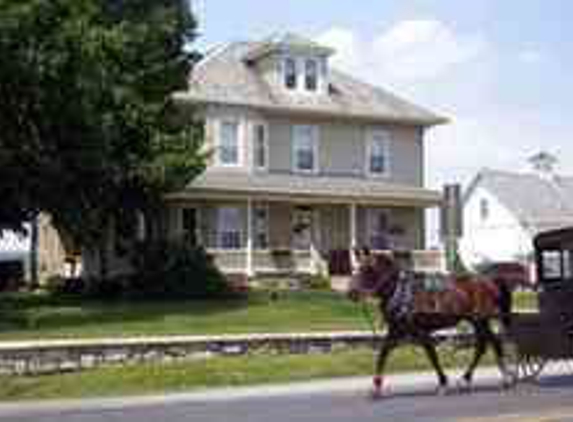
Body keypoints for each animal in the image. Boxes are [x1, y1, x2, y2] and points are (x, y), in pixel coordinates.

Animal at [346, 249, 516, 400]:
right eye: (357, 267)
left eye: (368, 269)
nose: (351, 292)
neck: (401, 292)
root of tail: (489, 281)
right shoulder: (396, 329)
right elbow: (383, 353)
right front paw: (376, 387)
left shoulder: (420, 330)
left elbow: (431, 355)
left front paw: (443, 383)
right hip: (475, 320)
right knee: (485, 344)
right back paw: (470, 378)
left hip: (480, 319)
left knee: (491, 343)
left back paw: (502, 378)